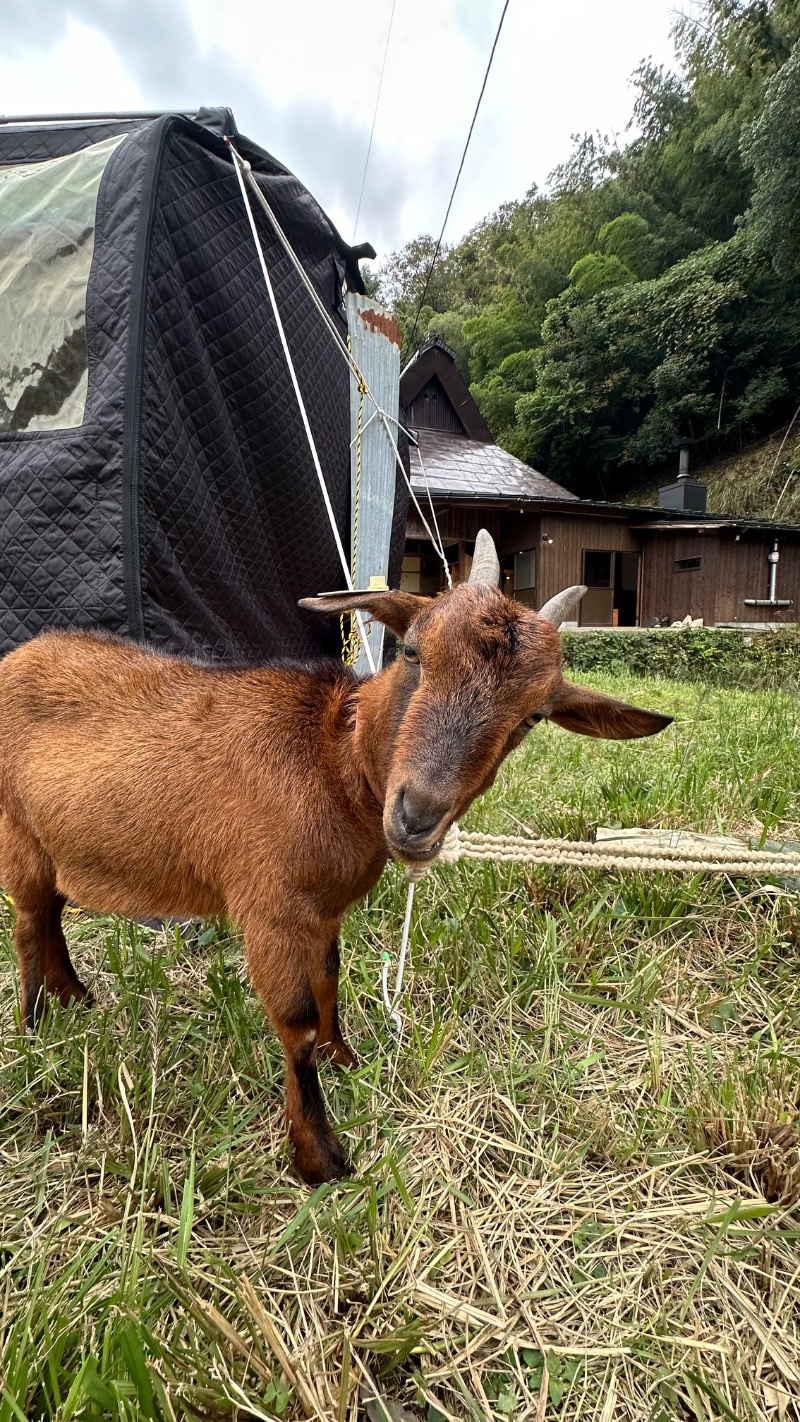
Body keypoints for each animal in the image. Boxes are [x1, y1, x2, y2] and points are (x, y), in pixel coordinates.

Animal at [0, 537, 673, 1183]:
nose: (416, 817)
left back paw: (73, 999)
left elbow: (329, 980)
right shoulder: (271, 908)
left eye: (534, 715)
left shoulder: (322, 910)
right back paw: (35, 1028)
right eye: (412, 653)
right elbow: (295, 1020)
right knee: (29, 923)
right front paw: (318, 1158)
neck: (335, 759)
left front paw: (345, 1059)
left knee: (50, 911)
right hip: (17, 833)